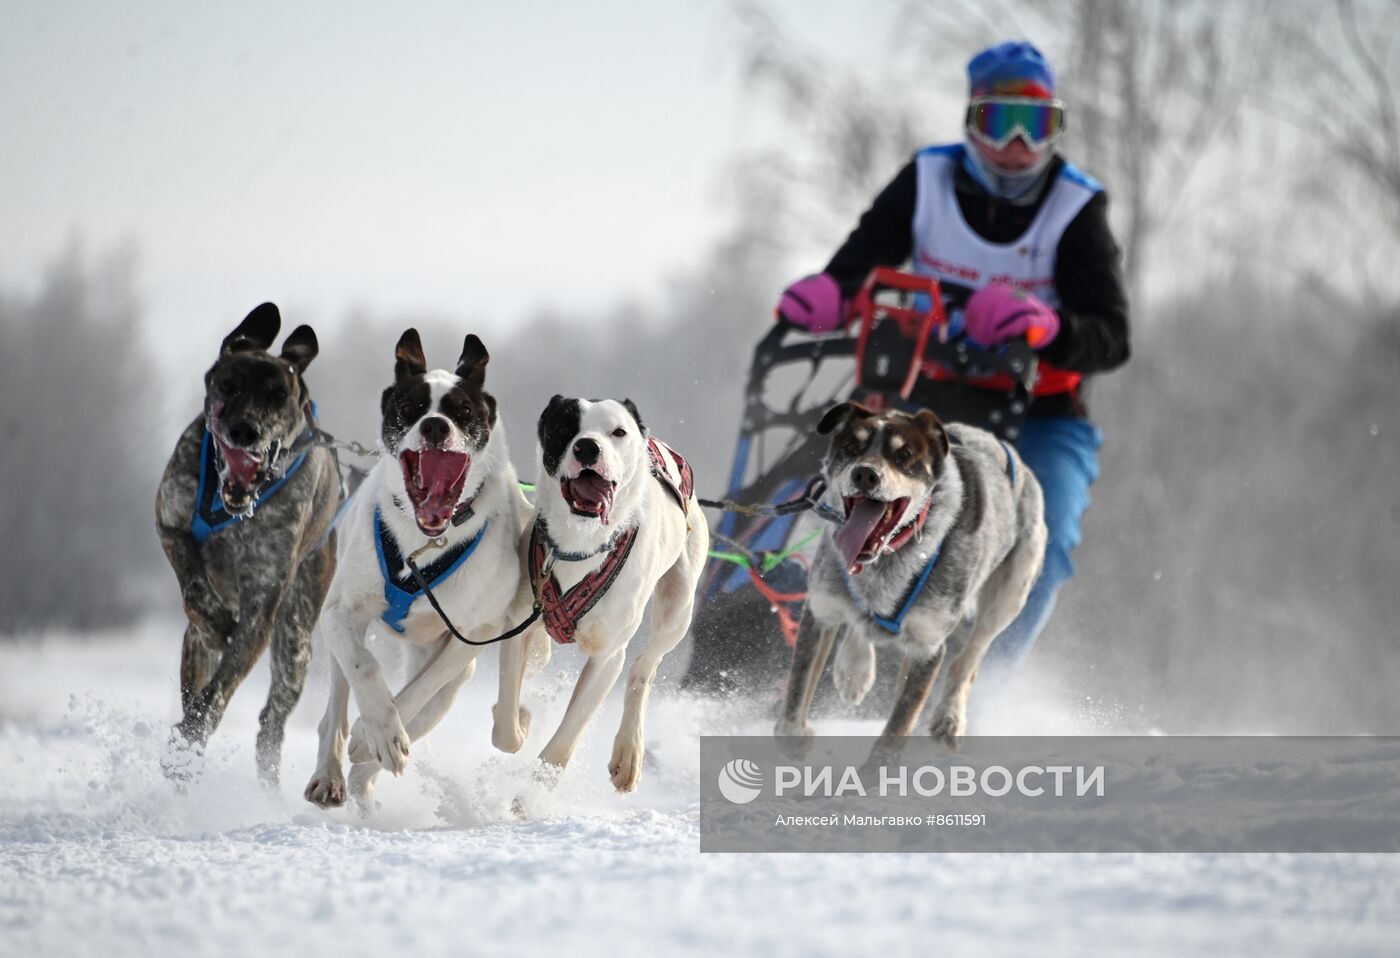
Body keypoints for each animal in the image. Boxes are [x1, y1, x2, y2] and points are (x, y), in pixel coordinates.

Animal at [156, 302, 341, 784]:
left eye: (277, 394)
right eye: (230, 385)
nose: (245, 430)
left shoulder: (263, 606)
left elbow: (220, 690)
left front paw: (191, 734)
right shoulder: (170, 524)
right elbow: (194, 588)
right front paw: (213, 614)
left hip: (296, 642)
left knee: (270, 723)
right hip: (199, 646)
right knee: (195, 662)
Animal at [303, 330, 532, 817]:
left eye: (463, 411)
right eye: (411, 406)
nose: (435, 426)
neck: (422, 545)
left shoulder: (472, 635)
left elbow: (416, 691)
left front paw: (376, 738)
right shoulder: (340, 612)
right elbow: (364, 668)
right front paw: (378, 728)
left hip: (451, 684)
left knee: (421, 706)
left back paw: (366, 766)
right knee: (335, 709)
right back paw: (330, 774)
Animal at [495, 397, 711, 795]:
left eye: (618, 431)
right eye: (565, 428)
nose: (587, 447)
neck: (581, 544)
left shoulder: (608, 656)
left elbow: (564, 741)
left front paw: (531, 794)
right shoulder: (519, 619)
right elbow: (505, 729)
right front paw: (522, 719)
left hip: (678, 605)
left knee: (644, 668)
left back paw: (629, 753)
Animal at [778, 400, 1052, 750]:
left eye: (904, 454)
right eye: (851, 447)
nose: (865, 473)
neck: (884, 563)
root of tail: (1005, 448)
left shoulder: (927, 646)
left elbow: (895, 732)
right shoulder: (821, 610)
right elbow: (796, 697)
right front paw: (793, 738)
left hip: (1008, 597)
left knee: (968, 661)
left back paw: (950, 716)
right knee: (860, 624)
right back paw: (854, 671)